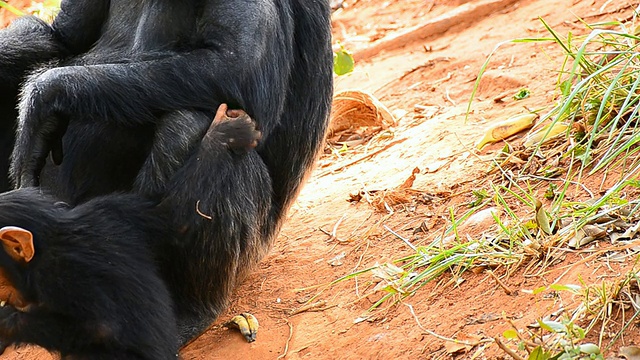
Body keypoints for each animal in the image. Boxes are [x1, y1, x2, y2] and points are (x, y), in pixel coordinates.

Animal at [1, 0, 336, 346]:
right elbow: (62, 37)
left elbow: (235, 64)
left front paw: (43, 95)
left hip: (249, 251)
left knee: (188, 122)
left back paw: (188, 311)